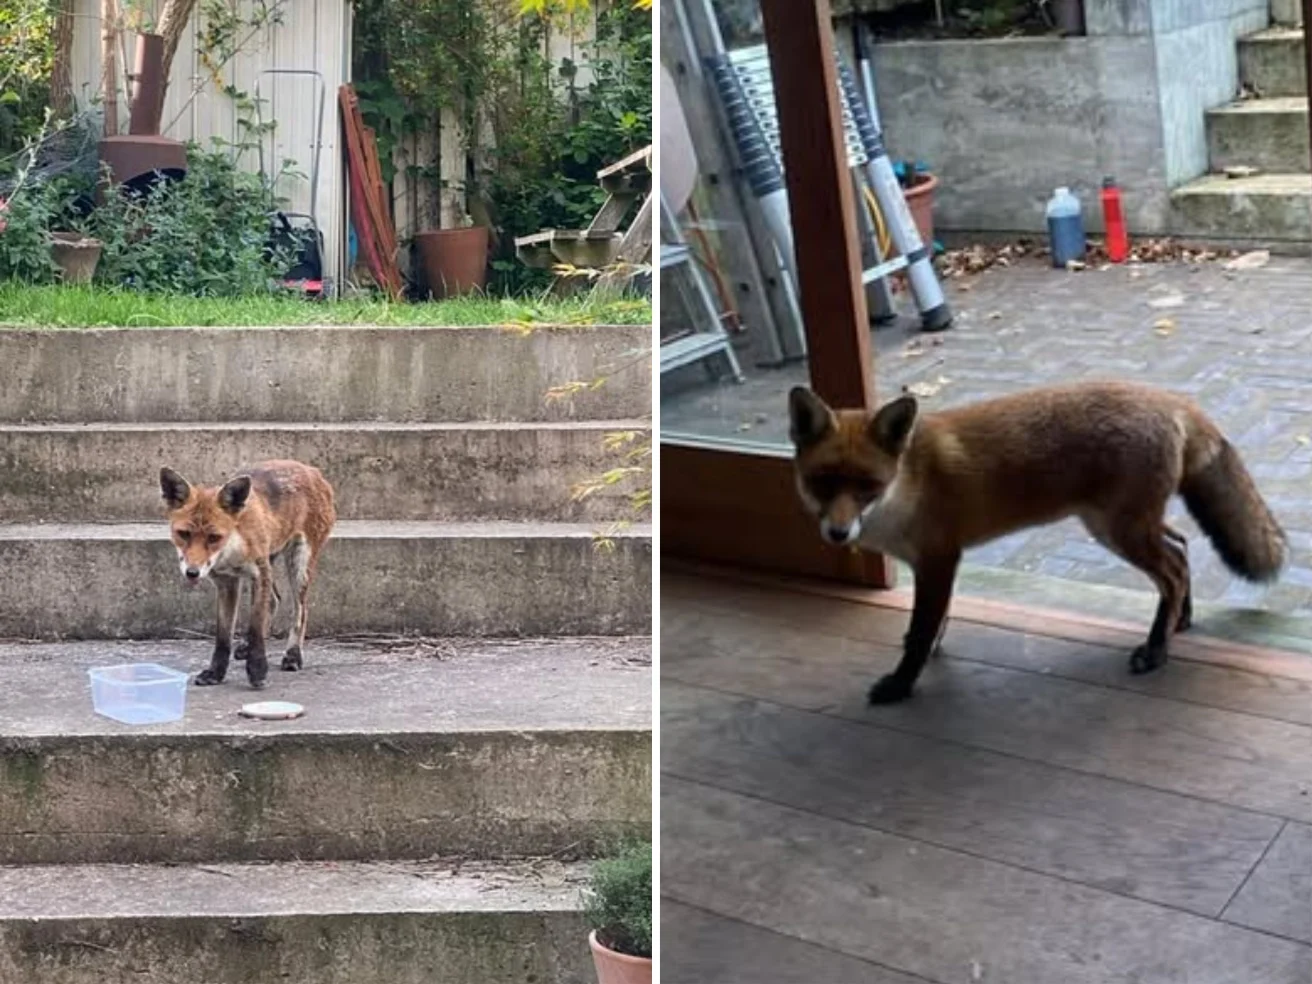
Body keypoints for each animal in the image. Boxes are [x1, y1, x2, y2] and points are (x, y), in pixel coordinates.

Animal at [159, 459, 336, 690]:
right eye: (184, 534)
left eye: (214, 537)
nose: (192, 573)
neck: (231, 551)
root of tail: (311, 470)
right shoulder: (227, 582)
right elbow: (223, 637)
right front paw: (216, 673)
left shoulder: (259, 574)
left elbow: (255, 626)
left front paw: (257, 669)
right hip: (271, 559)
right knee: (274, 600)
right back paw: (246, 646)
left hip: (299, 563)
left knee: (300, 611)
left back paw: (293, 655)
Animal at [788, 380, 1286, 705]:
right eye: (821, 483)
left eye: (867, 487)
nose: (838, 534)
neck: (907, 486)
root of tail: (1171, 399)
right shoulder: (931, 565)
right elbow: (931, 624)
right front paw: (926, 655)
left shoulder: (940, 558)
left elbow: (922, 631)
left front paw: (902, 684)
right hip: (1119, 525)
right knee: (1181, 548)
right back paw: (1179, 620)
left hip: (1120, 530)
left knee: (1175, 571)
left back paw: (1157, 650)